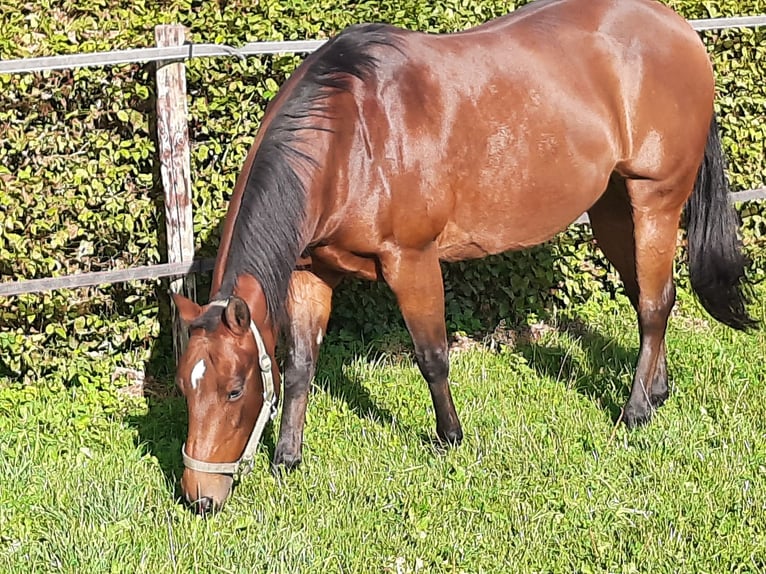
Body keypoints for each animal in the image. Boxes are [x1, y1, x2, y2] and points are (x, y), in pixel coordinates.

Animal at [171, 0, 755, 514]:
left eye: (234, 390)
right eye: (184, 387)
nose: (200, 498)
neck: (351, 138)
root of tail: (678, 28)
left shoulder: (411, 260)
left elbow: (432, 356)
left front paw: (450, 436)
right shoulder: (310, 272)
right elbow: (299, 365)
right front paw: (287, 458)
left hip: (656, 200)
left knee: (656, 303)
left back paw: (634, 411)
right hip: (613, 206)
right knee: (647, 296)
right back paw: (656, 392)